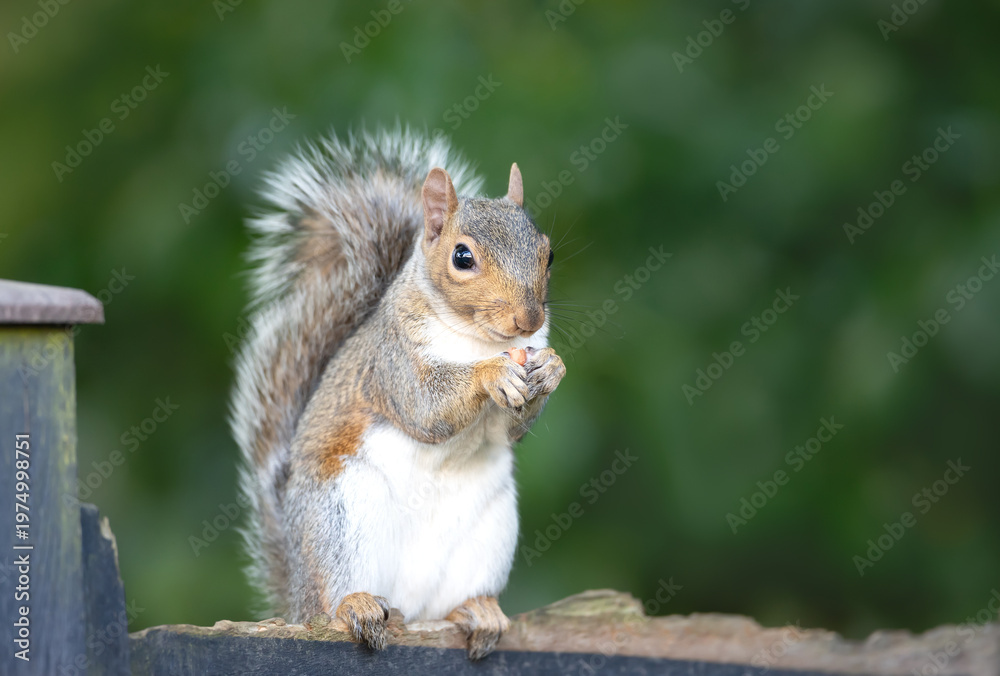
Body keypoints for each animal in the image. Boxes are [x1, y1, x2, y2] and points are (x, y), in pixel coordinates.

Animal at [230, 128, 566, 660]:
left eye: (548, 253)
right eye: (462, 257)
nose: (528, 320)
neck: (476, 339)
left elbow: (509, 429)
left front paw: (552, 368)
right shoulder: (392, 363)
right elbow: (425, 407)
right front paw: (490, 374)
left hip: (488, 532)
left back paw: (478, 611)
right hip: (339, 520)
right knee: (330, 602)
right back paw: (355, 605)